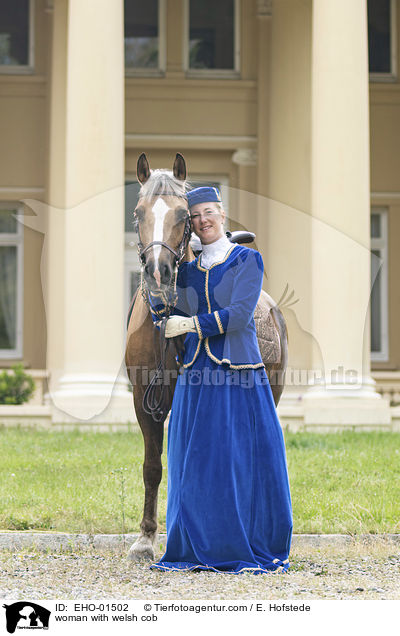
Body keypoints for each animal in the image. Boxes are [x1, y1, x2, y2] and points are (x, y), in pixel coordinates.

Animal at [125, 152, 288, 560]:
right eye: (137, 212)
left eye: (184, 215)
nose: (159, 273)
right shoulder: (144, 400)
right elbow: (152, 466)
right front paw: (146, 538)